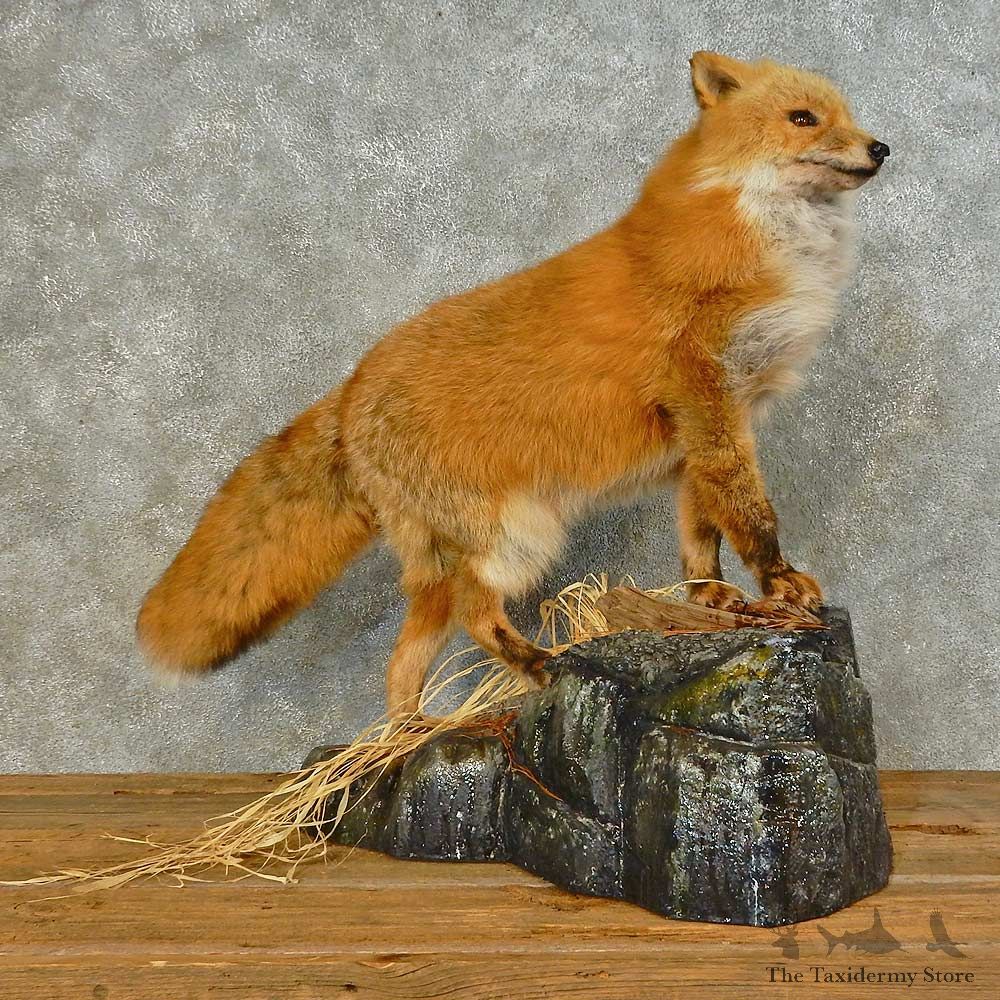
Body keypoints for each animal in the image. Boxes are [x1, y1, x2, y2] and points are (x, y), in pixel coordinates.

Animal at [137, 52, 889, 718]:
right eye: (803, 118)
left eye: (846, 115)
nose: (882, 147)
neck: (766, 238)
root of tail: (351, 390)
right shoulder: (708, 400)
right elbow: (750, 516)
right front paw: (780, 584)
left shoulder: (710, 431)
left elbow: (701, 533)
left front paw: (711, 602)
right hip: (515, 538)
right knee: (476, 616)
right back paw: (530, 667)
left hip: (451, 564)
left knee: (401, 663)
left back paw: (403, 742)